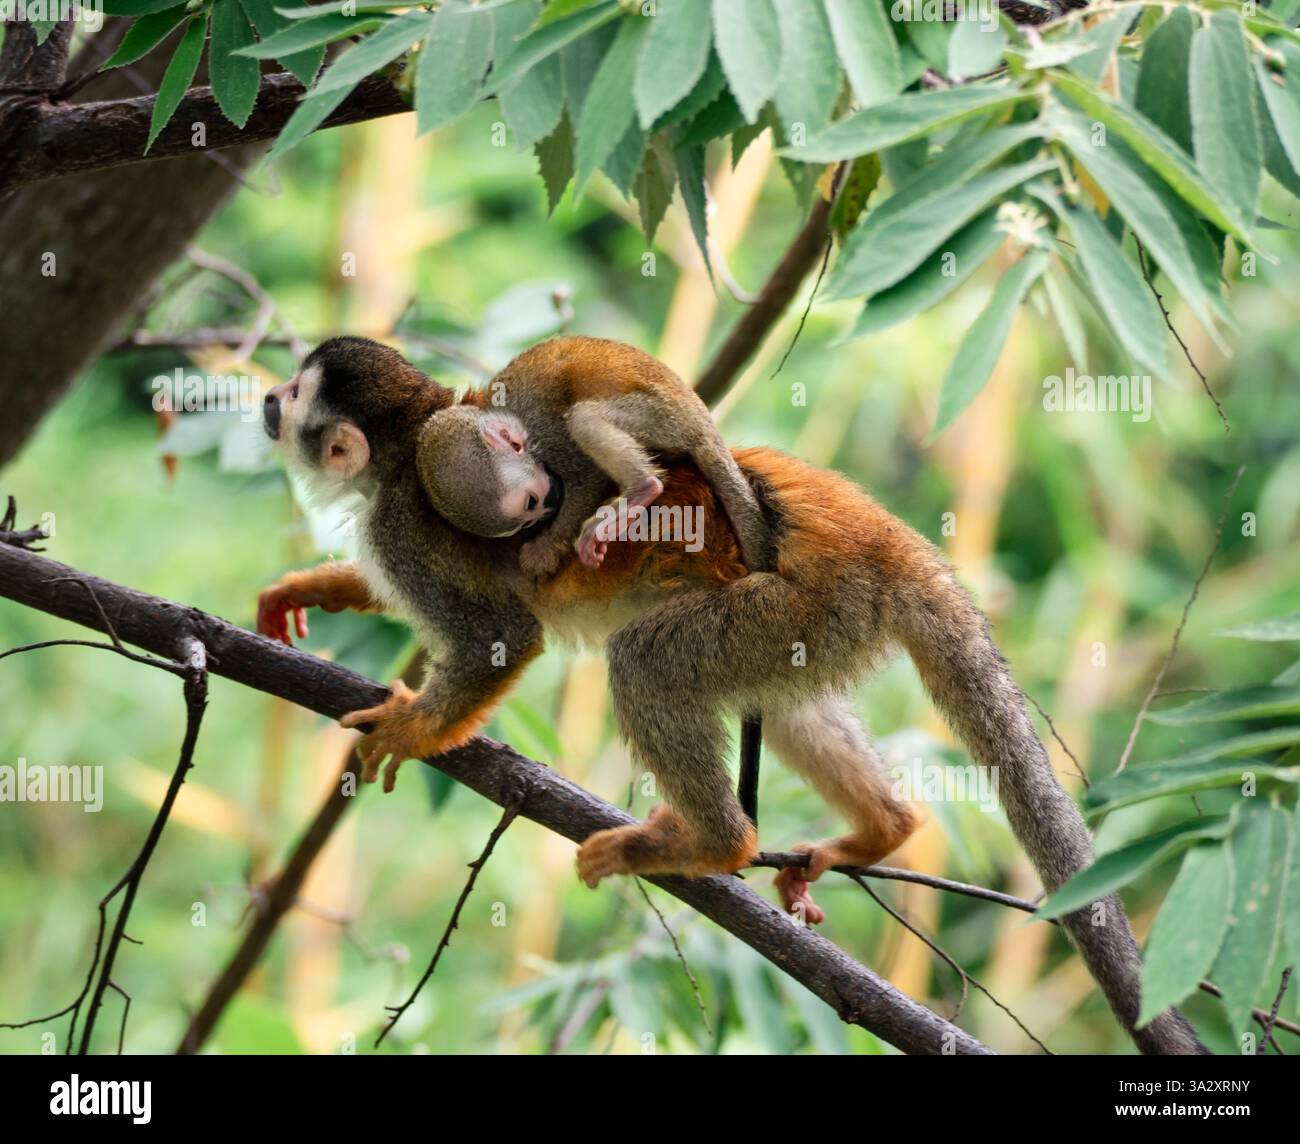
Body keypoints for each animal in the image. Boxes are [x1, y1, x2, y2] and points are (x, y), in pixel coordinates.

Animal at [414, 337, 774, 577]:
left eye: (532, 502)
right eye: (528, 518)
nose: (548, 509)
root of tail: (702, 422)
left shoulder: (547, 433)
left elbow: (587, 476)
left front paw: (547, 548)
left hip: (663, 416)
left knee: (584, 419)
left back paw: (642, 489)